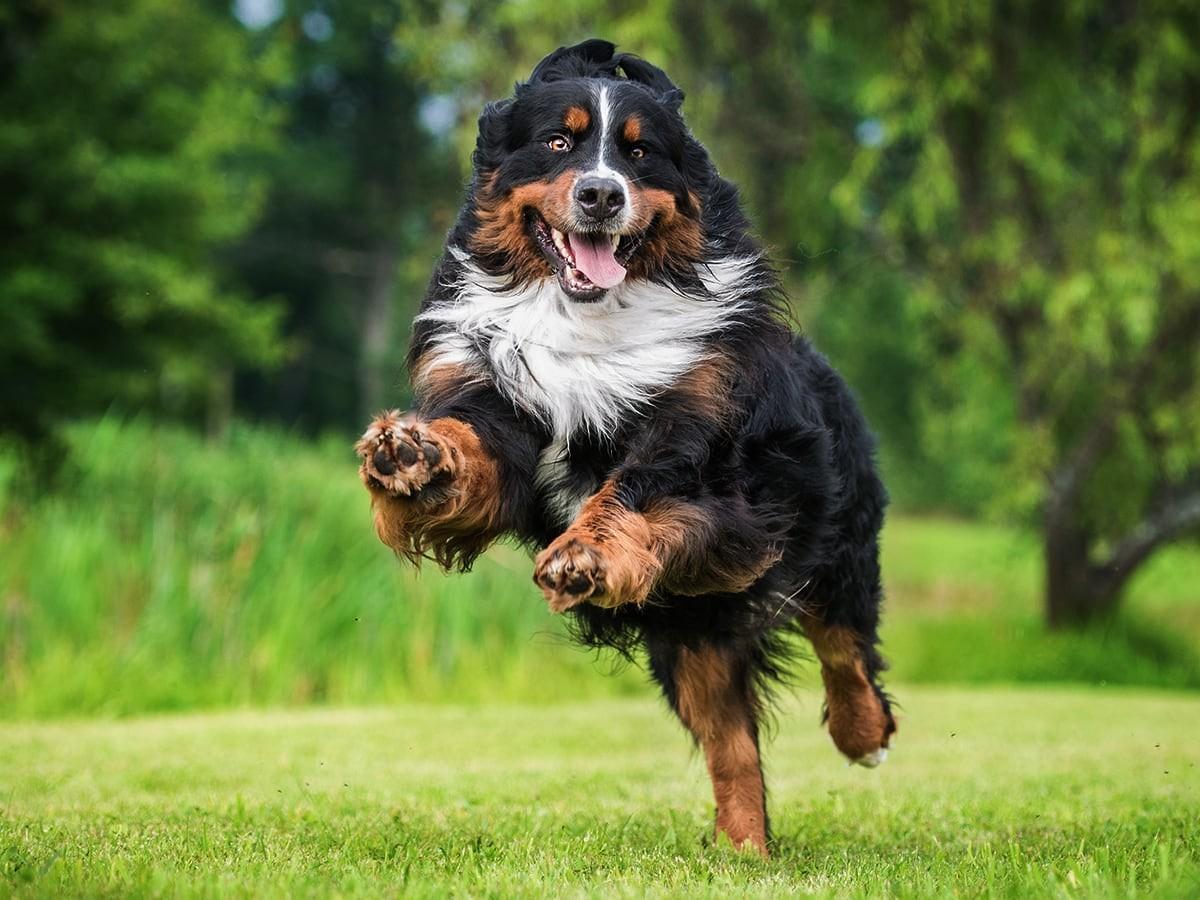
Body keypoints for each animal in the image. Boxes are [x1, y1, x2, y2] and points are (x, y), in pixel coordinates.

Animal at [352, 40, 892, 859]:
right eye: (557, 142)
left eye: (640, 153)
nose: (602, 195)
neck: (589, 316)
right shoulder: (501, 414)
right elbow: (476, 454)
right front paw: (413, 455)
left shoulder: (711, 460)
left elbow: (635, 490)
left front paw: (585, 554)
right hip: (690, 633)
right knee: (733, 749)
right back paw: (742, 853)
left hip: (829, 532)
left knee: (843, 642)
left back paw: (864, 736)